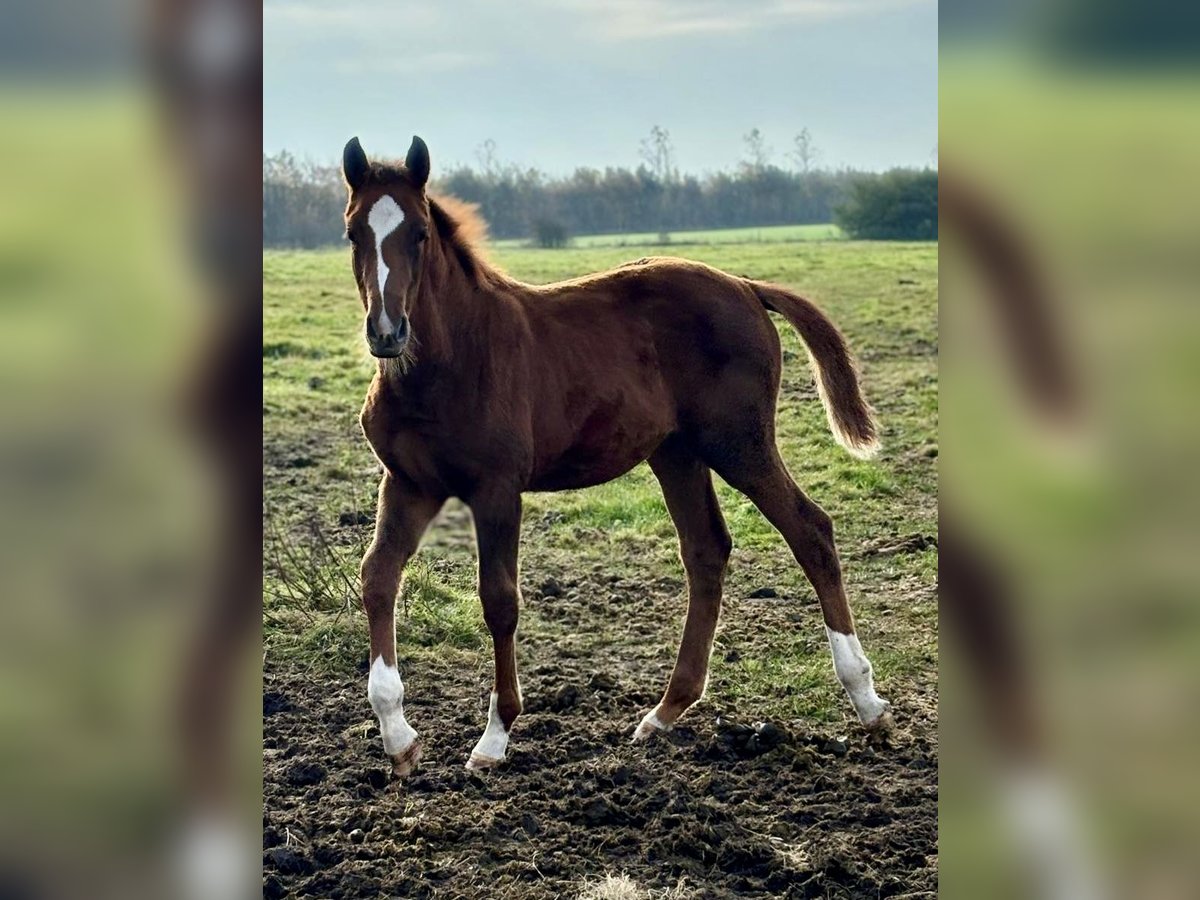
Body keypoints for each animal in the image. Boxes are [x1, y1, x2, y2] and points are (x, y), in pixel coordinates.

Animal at [341, 135, 891, 776]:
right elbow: (377, 578)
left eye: (420, 233)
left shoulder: (496, 488)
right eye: (353, 232)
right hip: (677, 453)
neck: (450, 361)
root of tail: (747, 286)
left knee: (810, 529)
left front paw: (495, 739)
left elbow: (499, 600)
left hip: (739, 444)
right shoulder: (409, 483)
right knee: (707, 549)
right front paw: (398, 737)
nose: (387, 332)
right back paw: (664, 712)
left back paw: (867, 700)